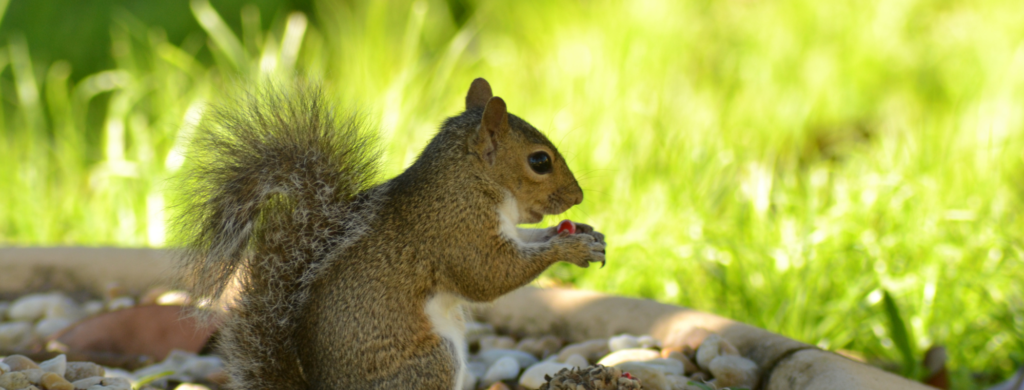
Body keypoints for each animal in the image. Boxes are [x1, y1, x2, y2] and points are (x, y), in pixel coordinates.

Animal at [174, 77, 606, 386]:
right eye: (539, 161)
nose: (579, 196)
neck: (470, 181)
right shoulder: (455, 230)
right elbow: (488, 276)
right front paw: (570, 249)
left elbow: (528, 244)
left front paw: (582, 235)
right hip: (432, 361)